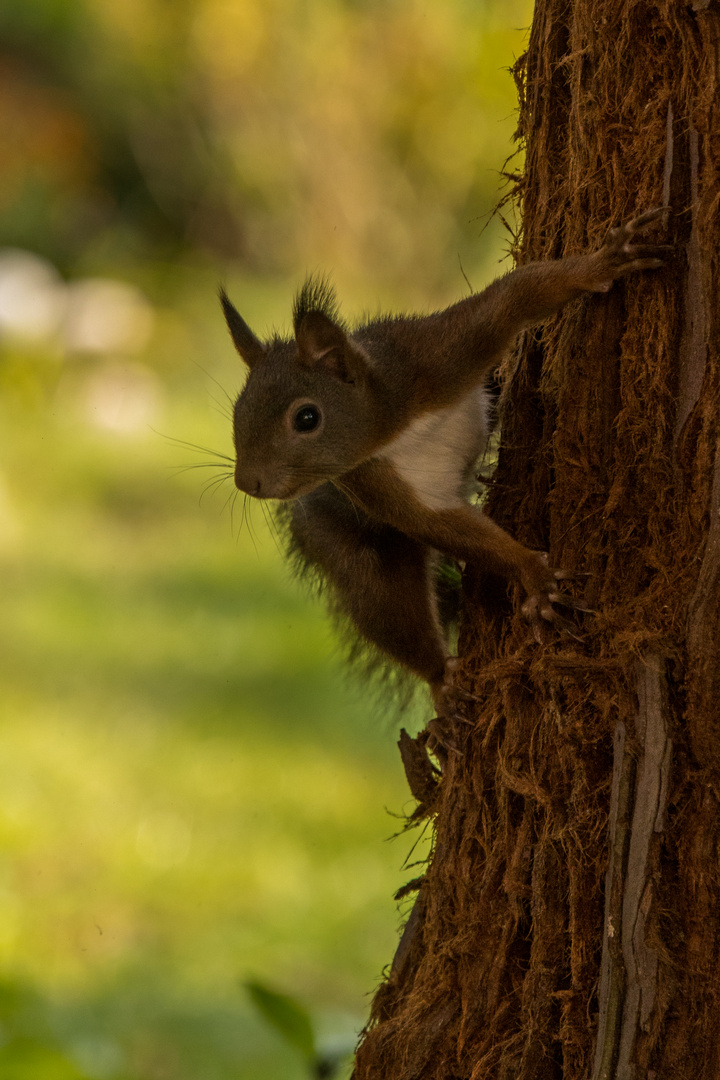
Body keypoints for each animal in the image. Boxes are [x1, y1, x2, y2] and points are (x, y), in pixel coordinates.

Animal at [220, 209, 669, 717]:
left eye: (307, 418)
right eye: (237, 411)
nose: (248, 482)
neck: (395, 428)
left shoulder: (434, 357)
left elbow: (515, 298)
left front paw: (603, 263)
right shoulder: (373, 481)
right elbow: (442, 525)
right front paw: (531, 575)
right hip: (347, 542)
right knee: (386, 605)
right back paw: (442, 678)